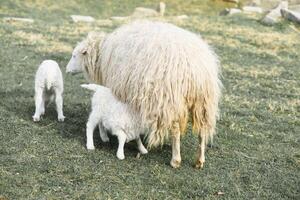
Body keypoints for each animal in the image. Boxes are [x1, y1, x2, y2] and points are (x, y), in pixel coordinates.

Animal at [66, 20, 220, 169]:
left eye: (74, 55)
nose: (67, 70)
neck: (101, 54)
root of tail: (195, 68)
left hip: (171, 99)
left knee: (175, 129)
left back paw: (175, 160)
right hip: (204, 103)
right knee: (202, 130)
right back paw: (199, 161)